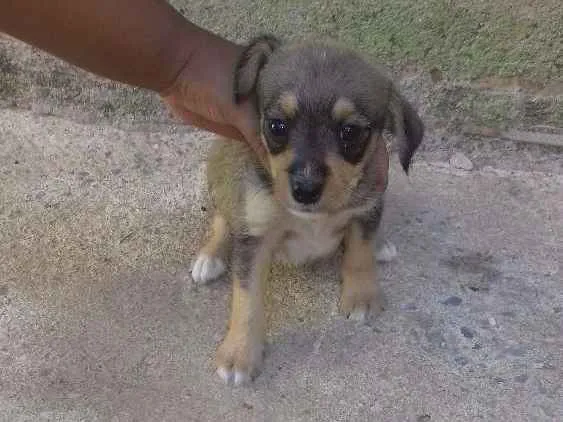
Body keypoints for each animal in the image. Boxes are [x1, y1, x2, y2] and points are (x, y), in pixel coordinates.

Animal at [189, 35, 424, 386]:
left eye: (350, 132)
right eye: (277, 125)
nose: (305, 189)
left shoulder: (366, 206)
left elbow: (359, 253)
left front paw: (361, 296)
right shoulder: (255, 234)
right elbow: (247, 299)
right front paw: (239, 354)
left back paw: (382, 244)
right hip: (221, 173)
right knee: (221, 219)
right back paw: (211, 256)